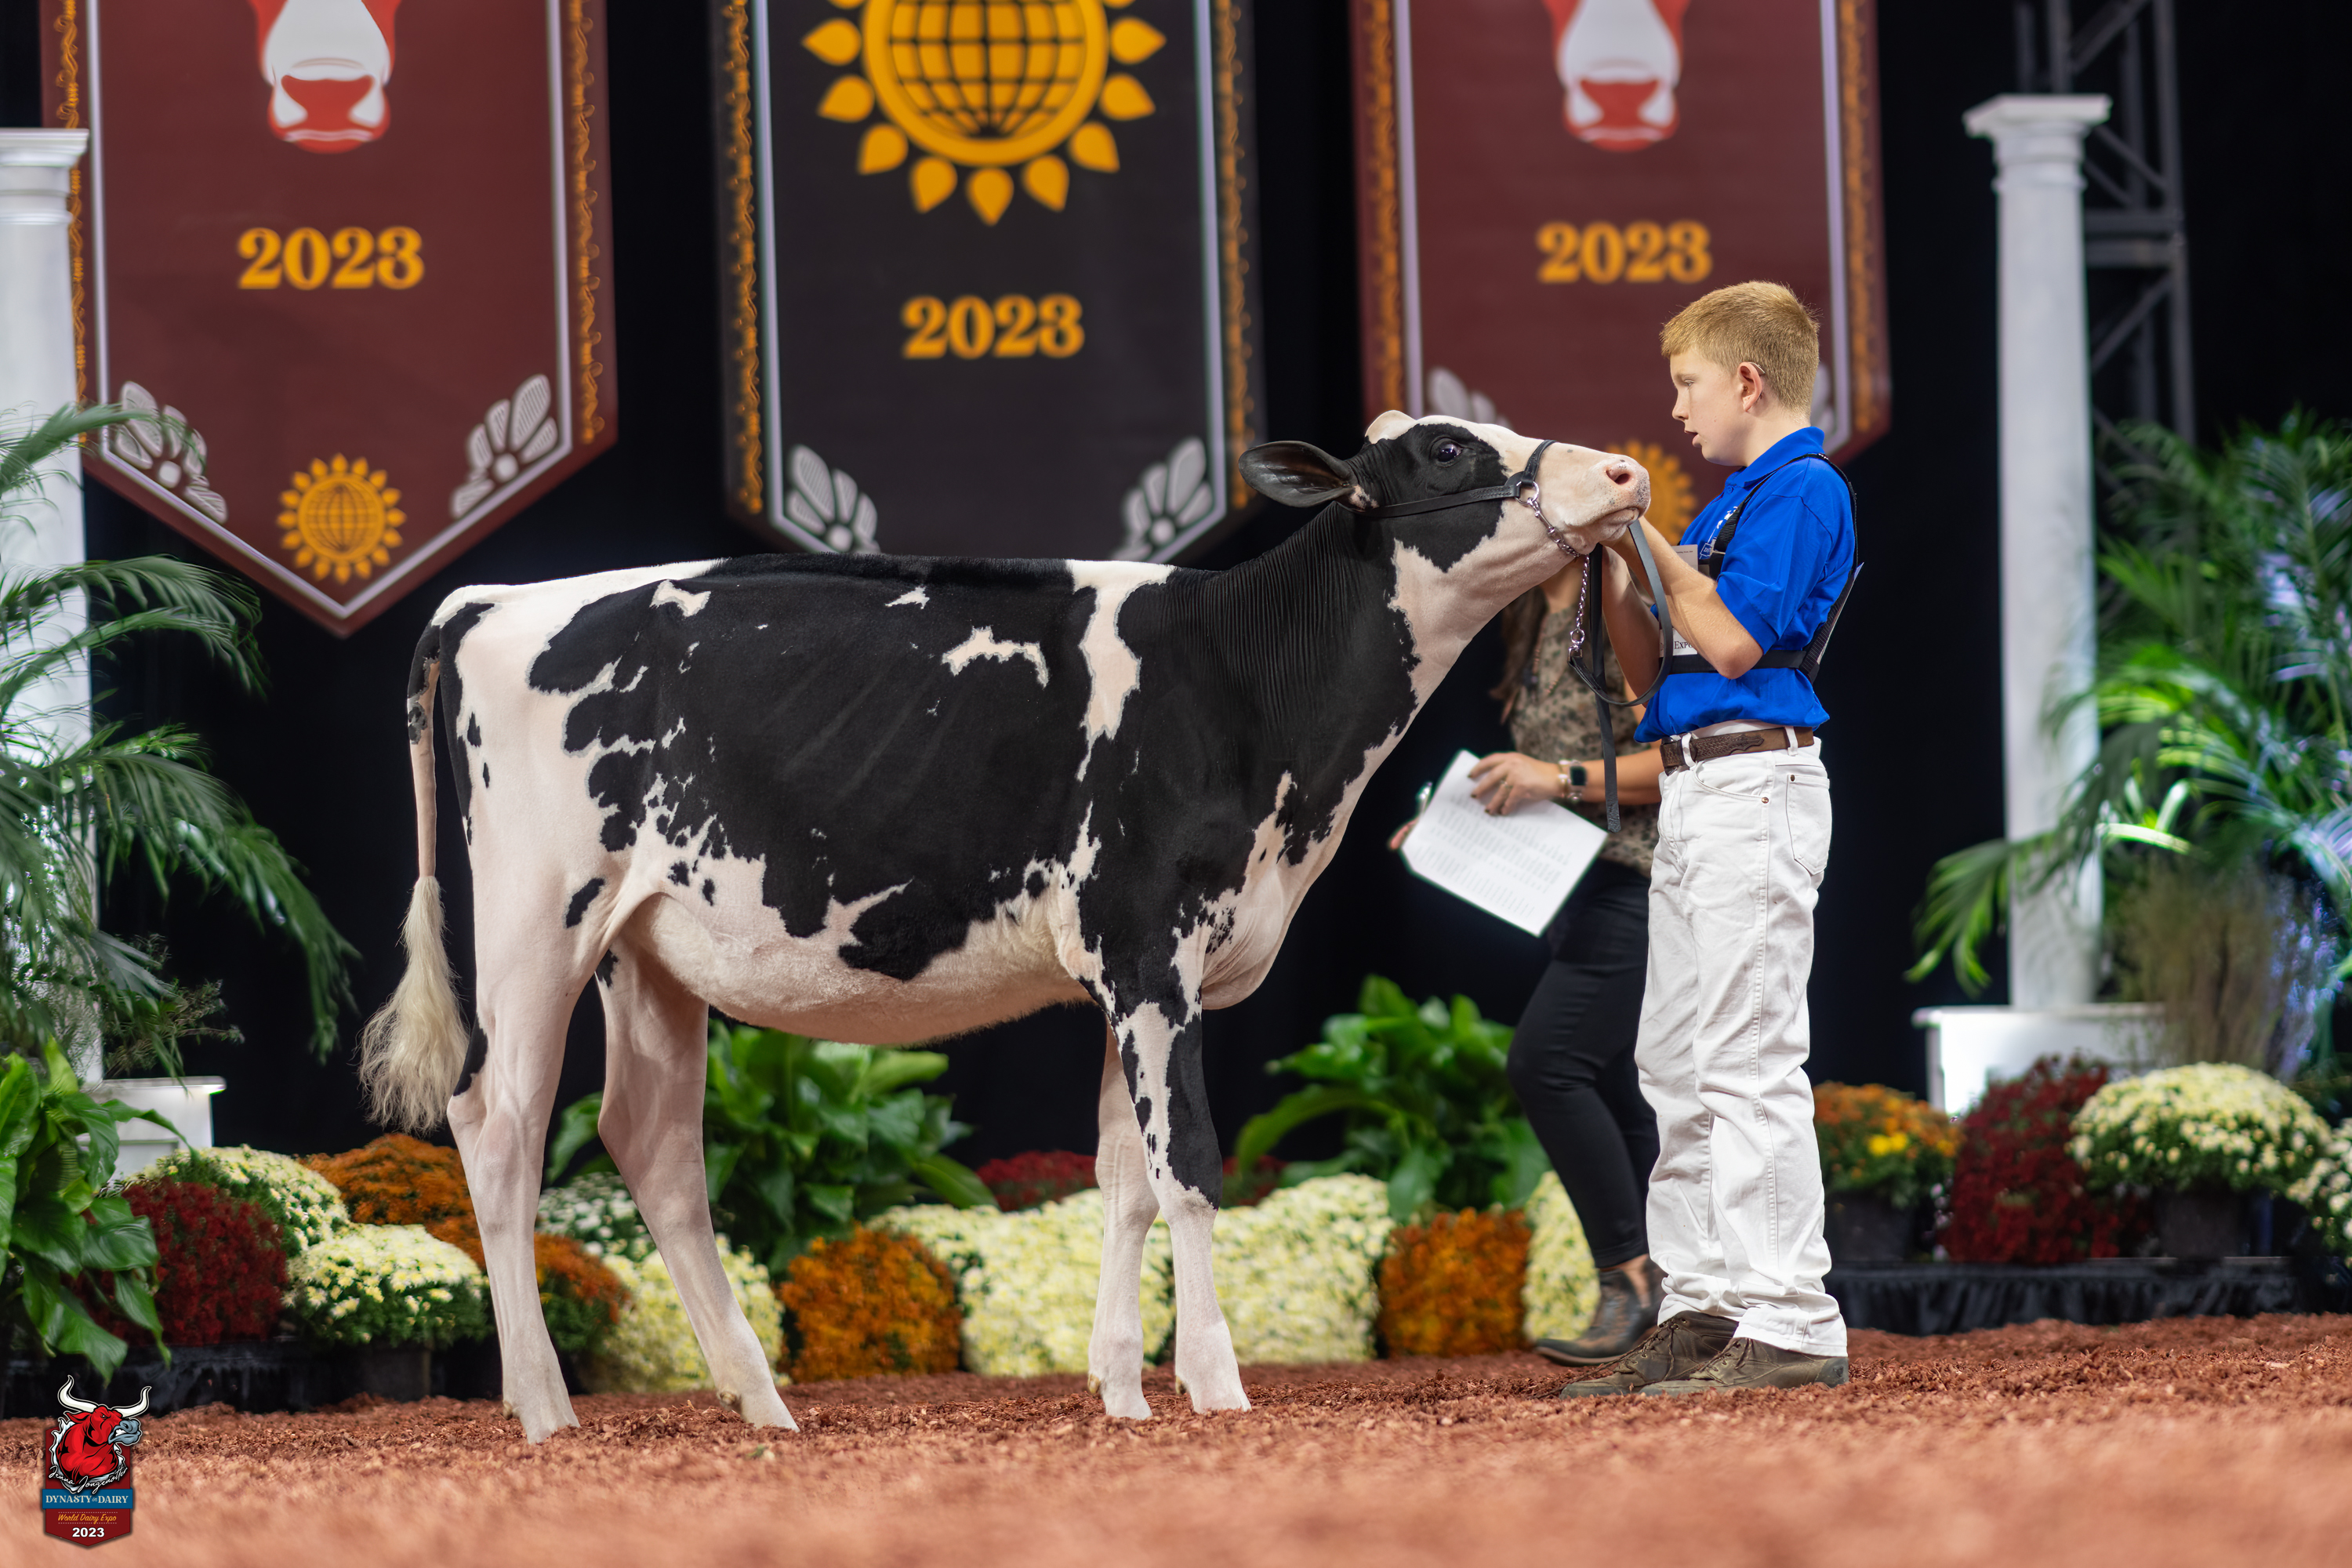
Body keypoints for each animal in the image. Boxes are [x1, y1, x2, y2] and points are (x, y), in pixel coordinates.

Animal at [361, 414, 1649, 1442]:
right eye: (1447, 450)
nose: (1625, 470)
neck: (1243, 688)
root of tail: (494, 599)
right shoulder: (1150, 949)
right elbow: (1190, 1169)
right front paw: (1217, 1382)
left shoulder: (1137, 977)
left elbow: (1124, 1179)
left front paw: (1122, 1387)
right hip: (537, 920)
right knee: (500, 1127)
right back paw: (544, 1405)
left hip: (650, 950)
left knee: (654, 1148)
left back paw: (760, 1401)